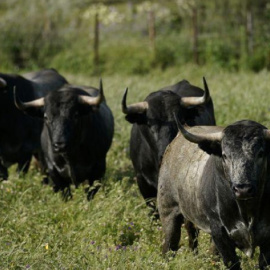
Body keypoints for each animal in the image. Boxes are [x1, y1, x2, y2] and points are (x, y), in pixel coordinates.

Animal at [158, 120, 270, 270]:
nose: (243, 189)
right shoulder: (219, 231)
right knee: (169, 247)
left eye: (261, 153)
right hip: (168, 214)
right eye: (225, 155)